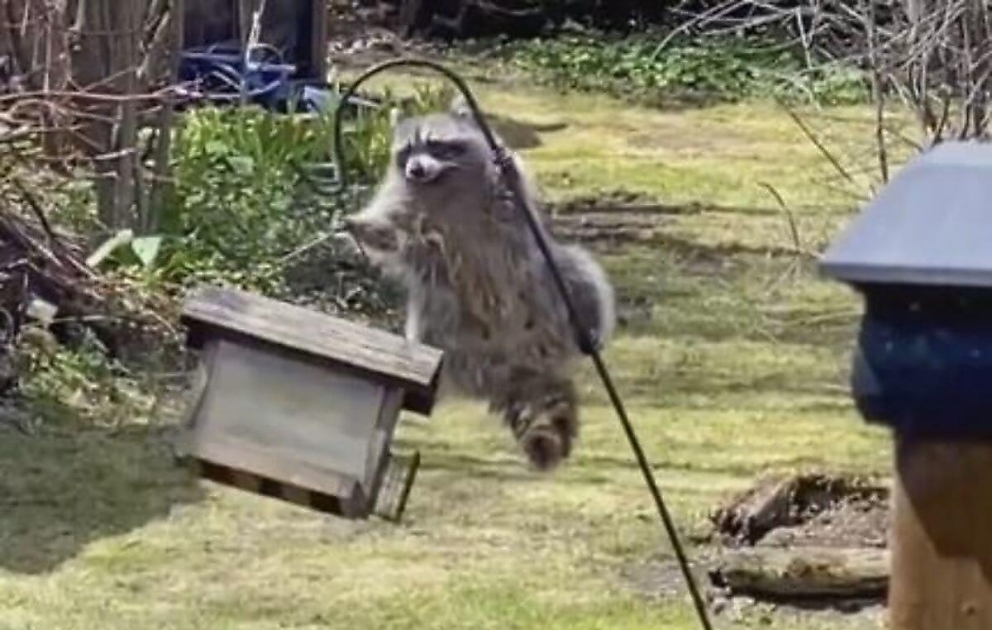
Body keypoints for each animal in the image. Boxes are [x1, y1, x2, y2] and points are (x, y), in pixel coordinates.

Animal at [344, 98, 616, 471]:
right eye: (407, 150)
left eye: (433, 144)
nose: (414, 169)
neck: (443, 184)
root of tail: (518, 366)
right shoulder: (404, 209)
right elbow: (391, 233)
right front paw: (362, 228)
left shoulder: (499, 205)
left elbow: (515, 193)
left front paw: (510, 166)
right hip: (439, 317)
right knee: (427, 324)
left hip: (544, 276)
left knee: (578, 272)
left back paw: (588, 328)